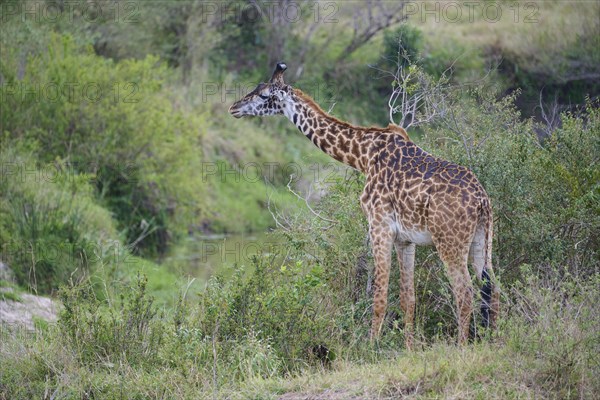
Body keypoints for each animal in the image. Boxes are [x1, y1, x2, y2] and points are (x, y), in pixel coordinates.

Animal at [230, 62, 502, 346]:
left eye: (264, 96)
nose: (234, 107)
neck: (363, 155)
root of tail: (482, 200)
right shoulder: (405, 239)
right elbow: (408, 299)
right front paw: (409, 348)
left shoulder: (379, 225)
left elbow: (379, 296)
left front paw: (370, 347)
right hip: (483, 239)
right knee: (492, 288)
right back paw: (493, 341)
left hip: (449, 242)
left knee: (465, 292)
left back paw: (461, 346)